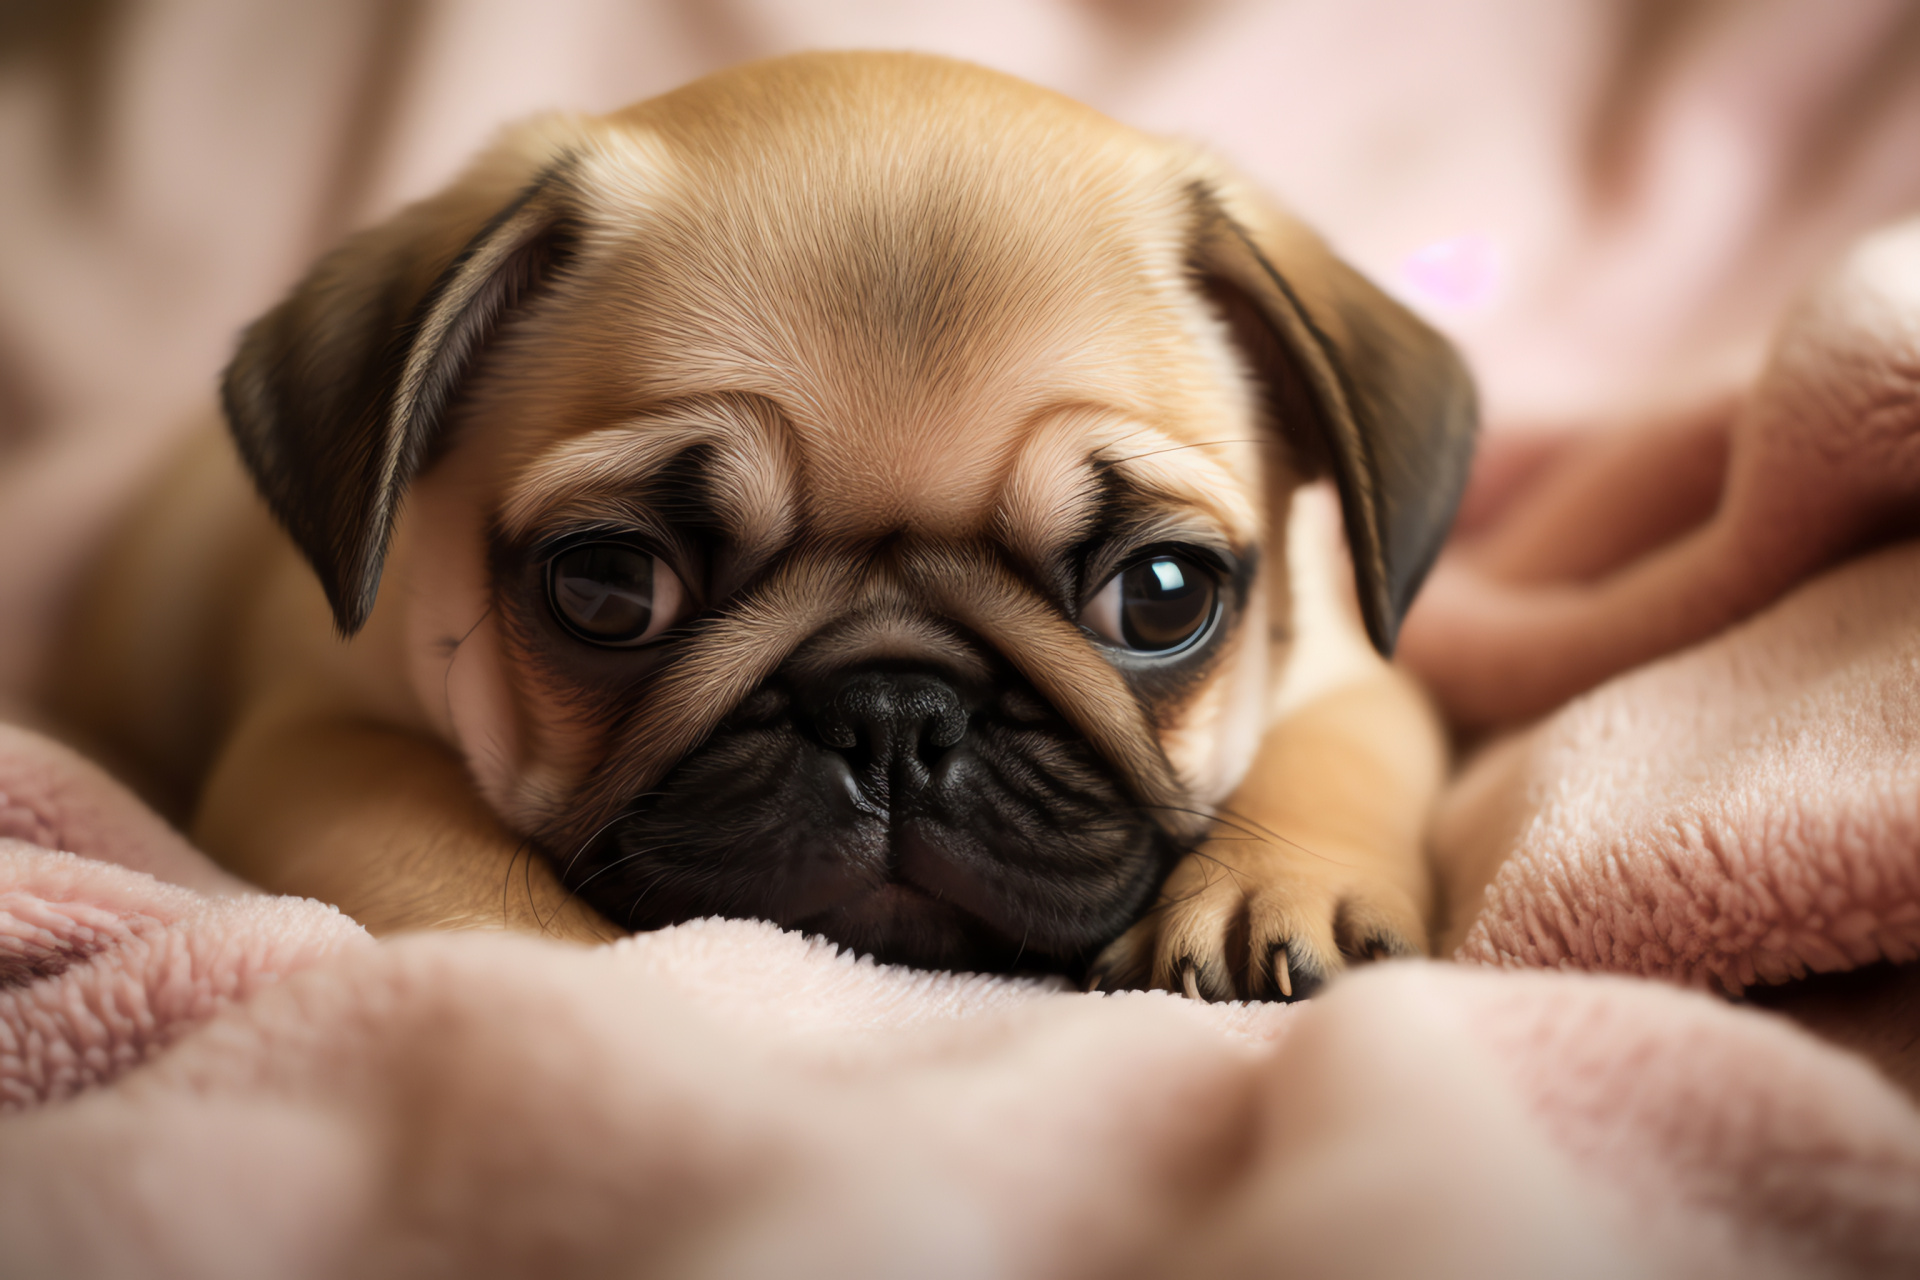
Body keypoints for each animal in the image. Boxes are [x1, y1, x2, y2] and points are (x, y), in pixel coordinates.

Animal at [56, 52, 1466, 997]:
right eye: (613, 589)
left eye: (1162, 593)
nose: (896, 709)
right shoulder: (314, 735)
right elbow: (428, 845)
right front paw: (548, 964)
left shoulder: (1349, 670)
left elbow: (1333, 755)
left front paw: (1272, 884)